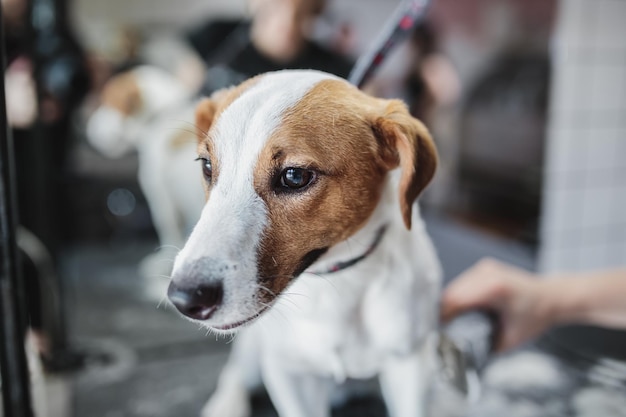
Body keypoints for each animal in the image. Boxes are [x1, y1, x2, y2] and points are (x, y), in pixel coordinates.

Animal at [166, 70, 438, 416]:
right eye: (207, 166)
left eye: (294, 176)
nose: (184, 298)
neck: (335, 283)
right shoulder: (288, 372)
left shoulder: (411, 365)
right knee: (235, 375)